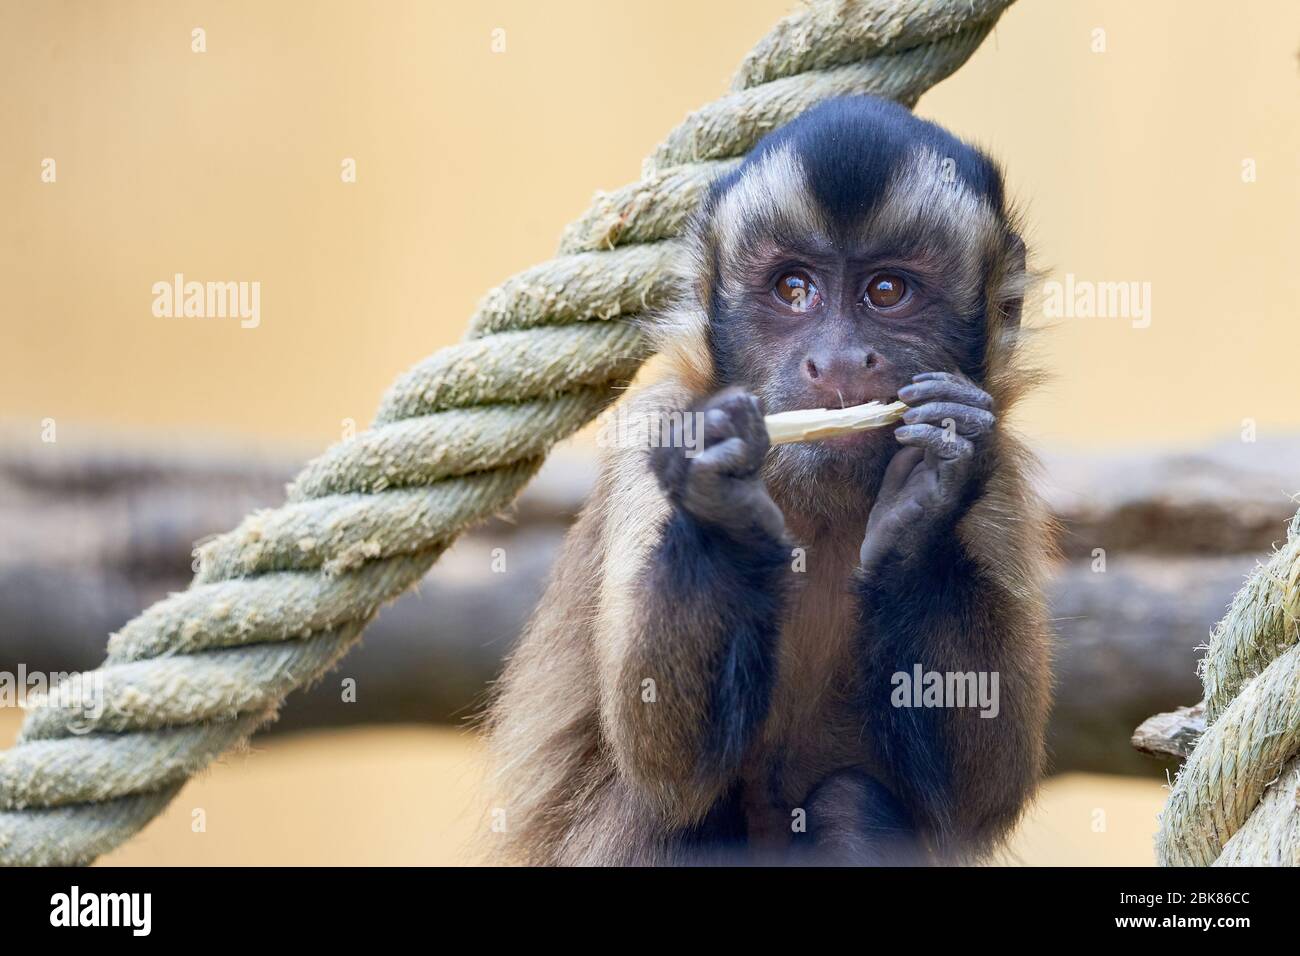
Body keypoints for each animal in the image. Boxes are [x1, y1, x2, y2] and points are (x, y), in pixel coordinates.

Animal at [483, 95, 1050, 868]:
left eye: (887, 290)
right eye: (793, 288)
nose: (837, 360)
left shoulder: (999, 467)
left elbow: (976, 797)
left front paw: (927, 504)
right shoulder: (660, 427)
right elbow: (665, 764)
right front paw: (721, 512)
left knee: (852, 803)